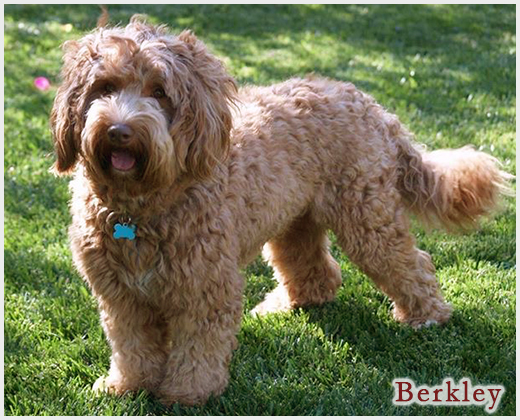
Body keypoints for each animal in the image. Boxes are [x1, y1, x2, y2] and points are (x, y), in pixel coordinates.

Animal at [51, 15, 511, 406]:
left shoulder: (206, 287)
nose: (119, 131)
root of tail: (372, 106)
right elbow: (132, 347)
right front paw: (127, 385)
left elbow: (198, 348)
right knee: (316, 272)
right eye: (104, 87)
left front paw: (188, 393)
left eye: (160, 92)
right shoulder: (121, 295)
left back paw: (427, 317)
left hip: (368, 219)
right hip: (294, 222)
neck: (140, 207)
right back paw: (284, 305)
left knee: (412, 263)